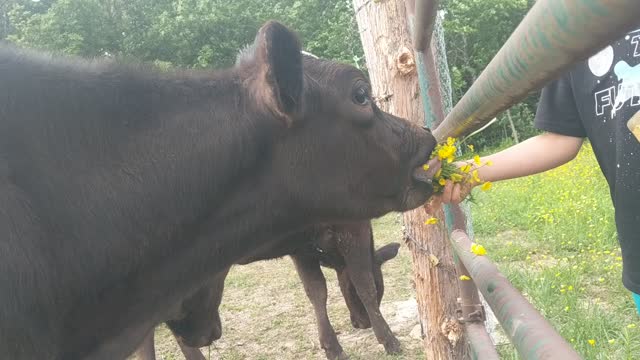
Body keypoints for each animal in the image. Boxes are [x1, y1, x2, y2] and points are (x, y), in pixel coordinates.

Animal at [135, 221, 400, 358]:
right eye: (381, 287)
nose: (362, 322)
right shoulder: (352, 227)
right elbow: (363, 283)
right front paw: (389, 341)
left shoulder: (301, 248)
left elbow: (316, 292)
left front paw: (331, 347)